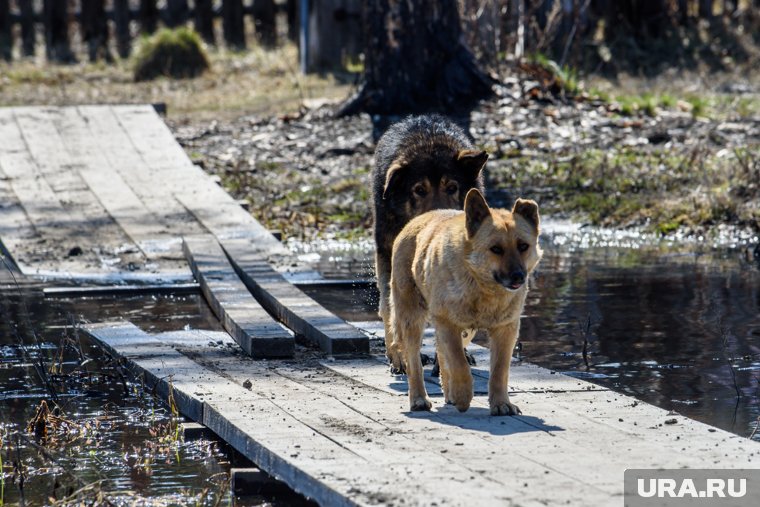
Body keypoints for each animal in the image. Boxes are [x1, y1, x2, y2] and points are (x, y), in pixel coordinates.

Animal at [388, 189, 544, 414]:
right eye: (496, 249)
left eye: (523, 246)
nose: (518, 277)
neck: (482, 286)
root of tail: (416, 221)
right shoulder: (448, 323)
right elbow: (459, 363)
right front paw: (462, 396)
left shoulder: (505, 330)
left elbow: (499, 370)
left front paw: (501, 403)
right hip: (412, 319)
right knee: (414, 361)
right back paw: (419, 399)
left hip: (462, 330)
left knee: (441, 354)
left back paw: (448, 393)